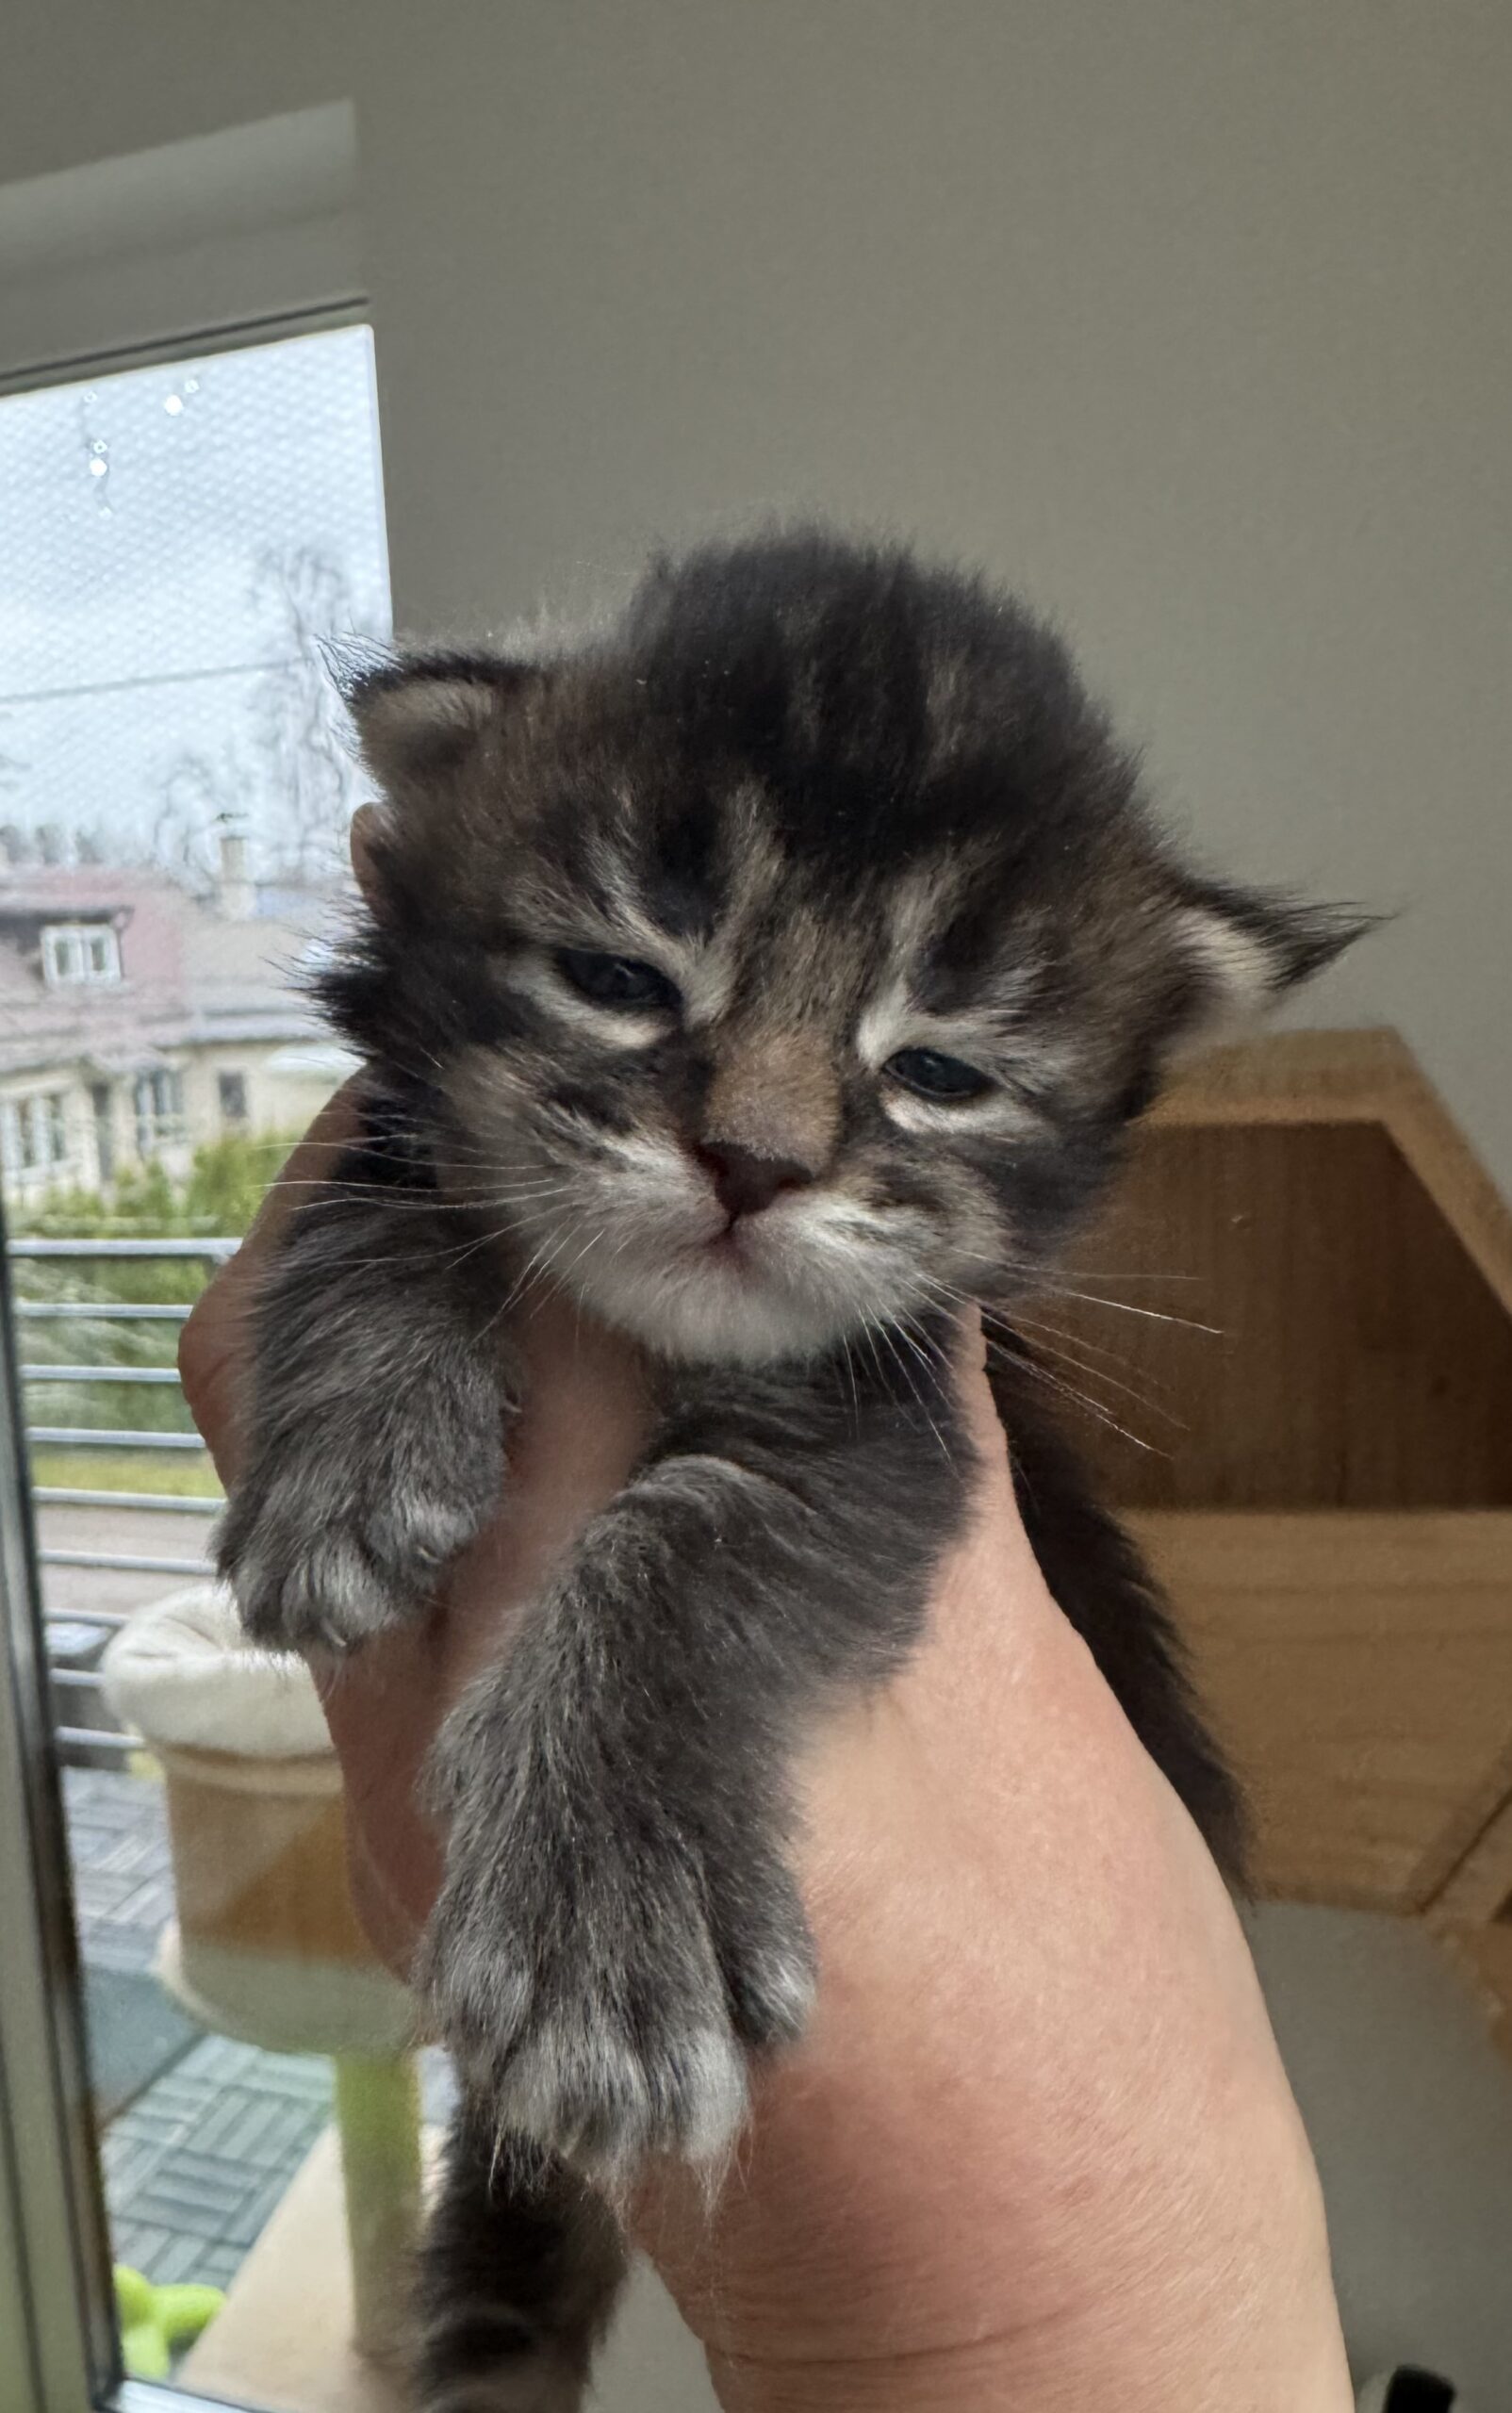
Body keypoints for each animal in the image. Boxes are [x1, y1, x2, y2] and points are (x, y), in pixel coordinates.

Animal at [217, 529, 1363, 2409]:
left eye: (939, 1073)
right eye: (619, 979)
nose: (752, 1162)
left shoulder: (901, 1416)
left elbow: (694, 1551)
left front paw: (610, 1914)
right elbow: (396, 1168)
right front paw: (361, 1433)